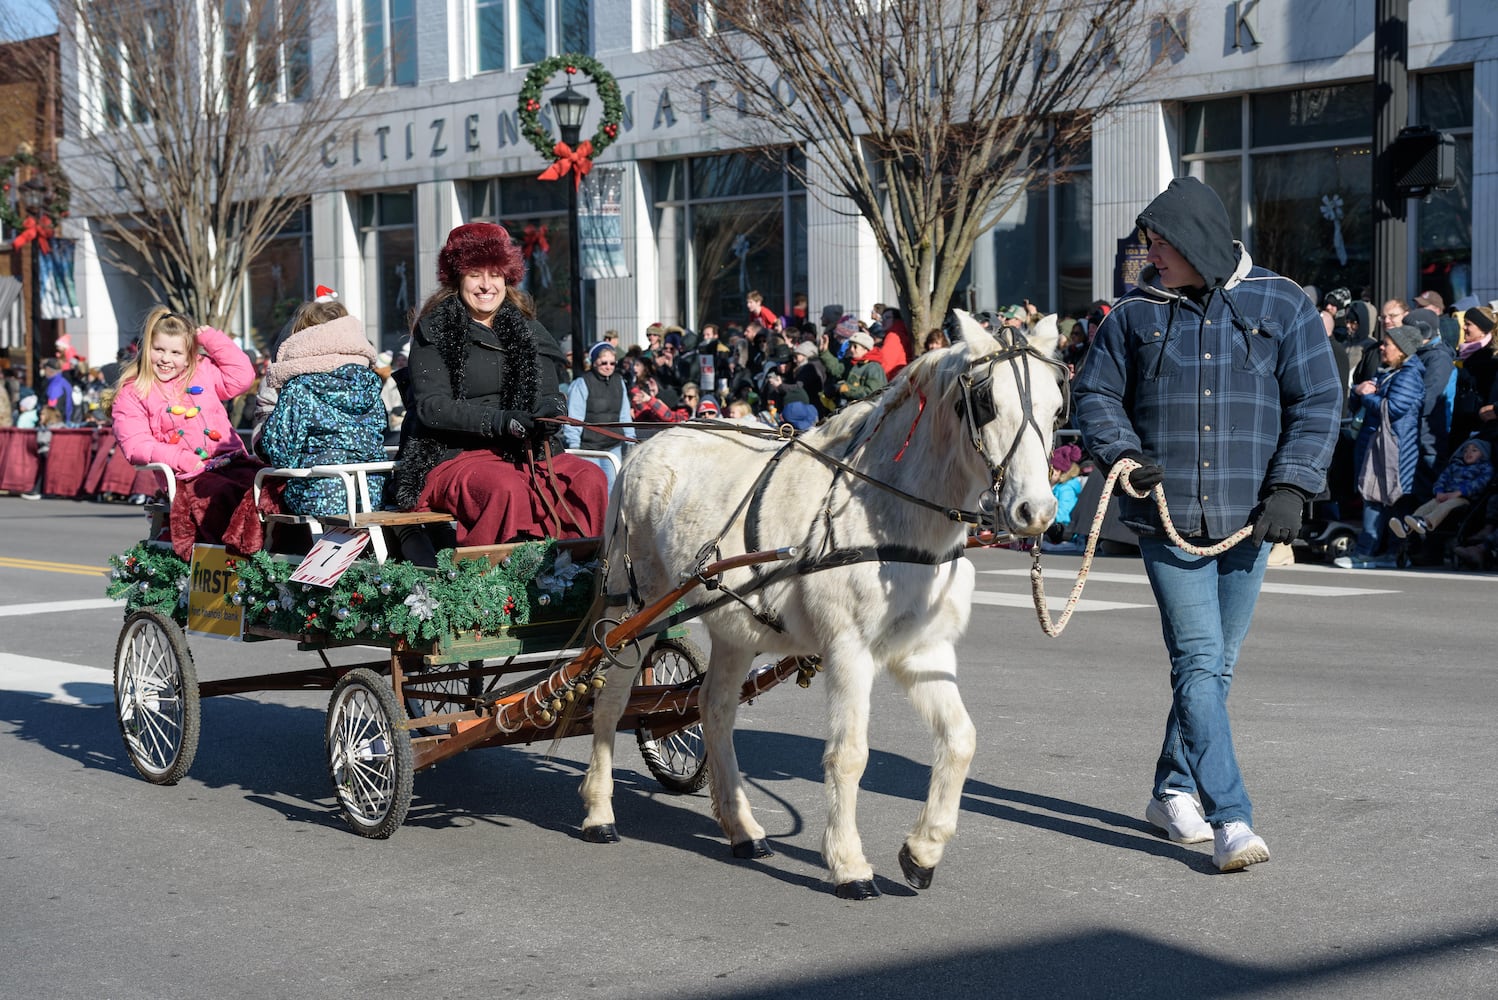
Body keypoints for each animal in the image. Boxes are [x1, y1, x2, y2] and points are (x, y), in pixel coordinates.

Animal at [575, 309, 1066, 898]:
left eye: (1057, 406)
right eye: (988, 402)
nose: (1036, 512)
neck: (889, 512)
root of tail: (643, 449)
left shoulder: (923, 650)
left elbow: (961, 740)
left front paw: (922, 852)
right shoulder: (848, 649)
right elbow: (849, 754)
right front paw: (849, 864)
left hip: (732, 627)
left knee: (713, 709)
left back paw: (742, 828)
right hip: (635, 610)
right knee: (610, 701)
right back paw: (599, 812)